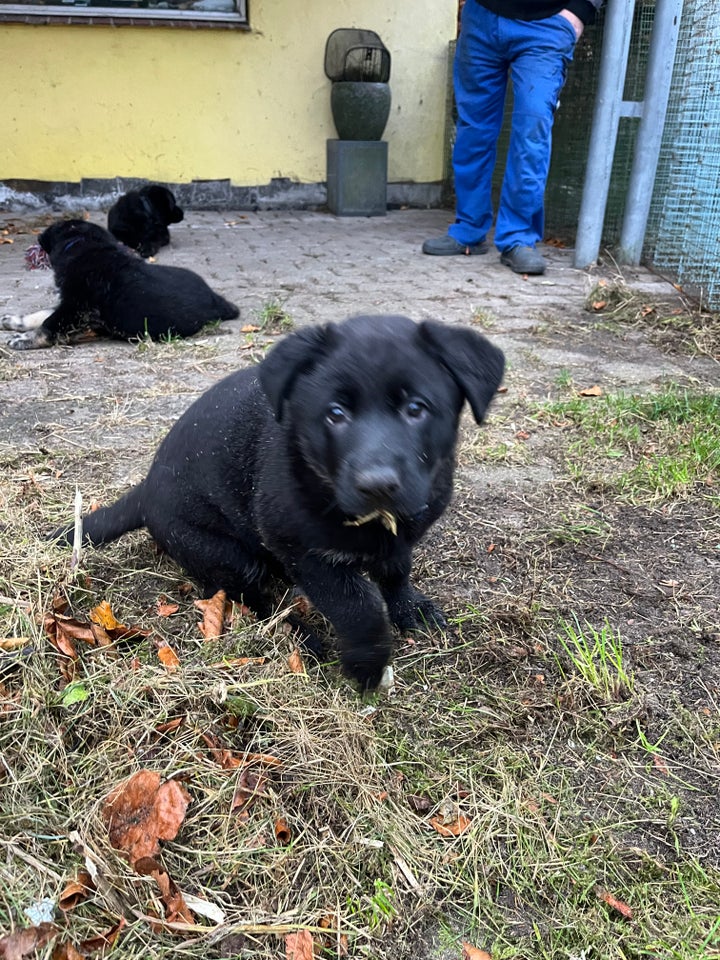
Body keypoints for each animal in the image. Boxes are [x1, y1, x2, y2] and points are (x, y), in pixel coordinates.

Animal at [1, 219, 240, 350]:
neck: (82, 245)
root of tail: (218, 301)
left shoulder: (76, 309)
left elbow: (49, 324)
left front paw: (25, 339)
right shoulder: (70, 303)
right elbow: (42, 314)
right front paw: (14, 321)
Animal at [53, 316, 504, 688]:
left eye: (416, 409)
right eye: (335, 414)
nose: (376, 485)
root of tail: (145, 489)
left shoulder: (398, 536)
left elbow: (395, 571)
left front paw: (410, 608)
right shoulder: (301, 550)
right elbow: (357, 606)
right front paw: (368, 664)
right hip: (227, 555)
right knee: (256, 602)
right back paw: (301, 636)